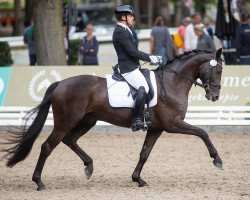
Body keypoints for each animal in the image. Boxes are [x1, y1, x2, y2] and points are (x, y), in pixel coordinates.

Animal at [1, 48, 225, 191]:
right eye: (219, 70)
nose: (215, 96)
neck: (172, 82)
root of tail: (60, 84)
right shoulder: (173, 124)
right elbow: (202, 132)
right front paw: (217, 159)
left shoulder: (156, 129)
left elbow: (144, 153)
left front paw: (138, 180)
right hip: (66, 122)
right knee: (47, 146)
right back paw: (39, 182)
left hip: (87, 121)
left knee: (70, 140)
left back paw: (89, 166)